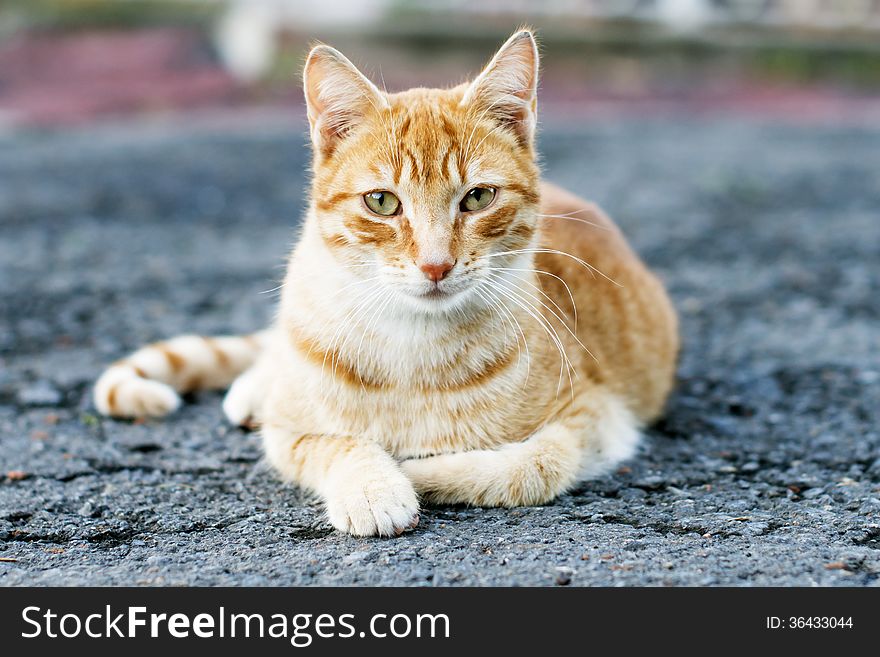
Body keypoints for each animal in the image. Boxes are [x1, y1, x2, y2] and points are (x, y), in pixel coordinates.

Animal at [93, 29, 676, 532]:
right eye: (382, 202)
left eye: (478, 197)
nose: (436, 265)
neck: (413, 348)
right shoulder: (289, 434)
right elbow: (337, 443)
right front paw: (376, 487)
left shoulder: (595, 418)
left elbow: (530, 466)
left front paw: (418, 471)